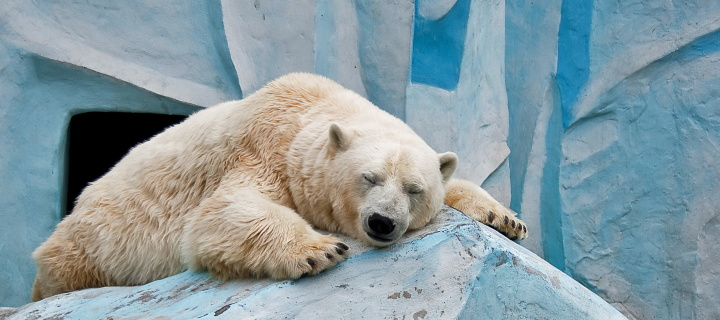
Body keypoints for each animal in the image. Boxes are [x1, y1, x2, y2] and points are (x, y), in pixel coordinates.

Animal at [31, 72, 524, 300]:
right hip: (89, 246)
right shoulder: (262, 149)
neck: (311, 109)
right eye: (369, 177)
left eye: (414, 188)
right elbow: (220, 212)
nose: (382, 223)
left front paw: (506, 219)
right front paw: (319, 249)